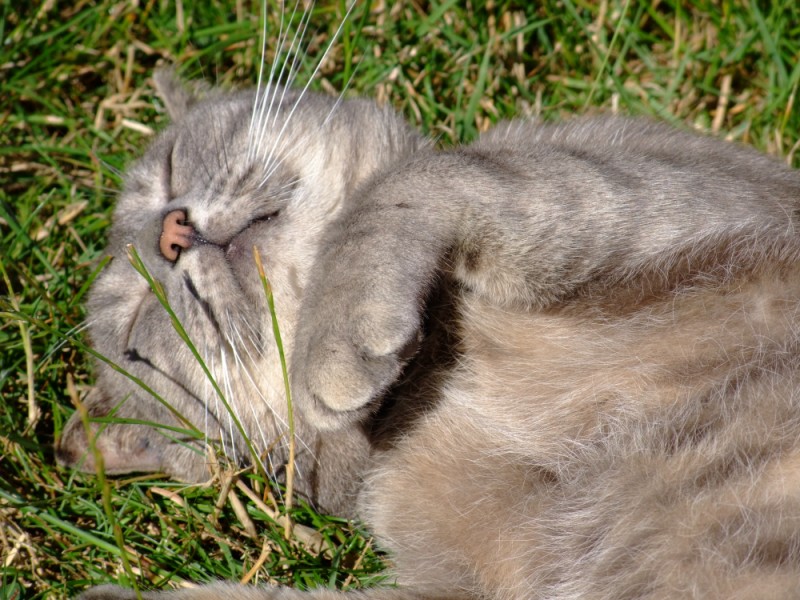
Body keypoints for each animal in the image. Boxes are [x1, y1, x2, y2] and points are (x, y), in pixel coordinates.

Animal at [57, 67, 800, 600]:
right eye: (137, 331)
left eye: (171, 168)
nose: (172, 233)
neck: (437, 364)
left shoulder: (668, 191)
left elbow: (402, 185)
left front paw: (337, 341)